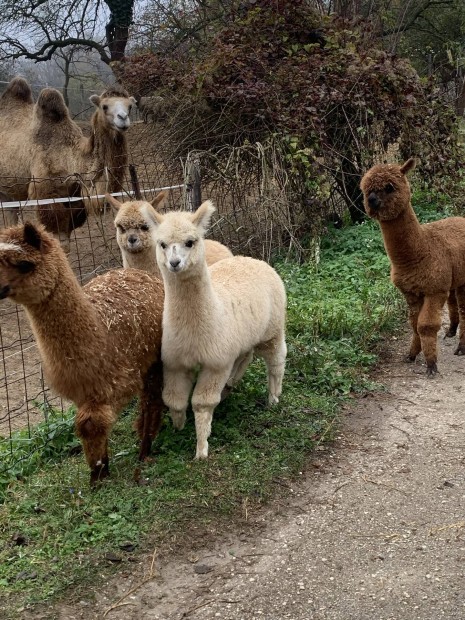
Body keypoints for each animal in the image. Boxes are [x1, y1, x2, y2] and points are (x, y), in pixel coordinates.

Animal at [0, 78, 136, 252]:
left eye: (130, 106)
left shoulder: (75, 201)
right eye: (104, 106)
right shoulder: (47, 197)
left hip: (9, 192)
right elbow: (60, 245)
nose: (123, 118)